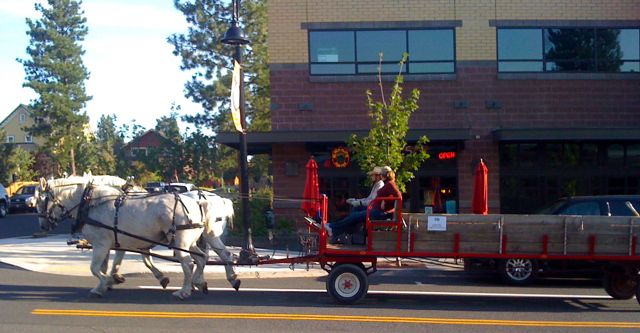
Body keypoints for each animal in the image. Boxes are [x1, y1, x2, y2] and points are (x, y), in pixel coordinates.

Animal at [37, 178, 210, 296]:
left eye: (41, 200)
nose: (43, 226)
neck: (90, 204)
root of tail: (197, 203)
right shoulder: (110, 244)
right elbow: (104, 267)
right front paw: (103, 285)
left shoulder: (101, 244)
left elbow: (94, 268)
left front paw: (106, 282)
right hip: (190, 242)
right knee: (201, 258)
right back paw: (199, 282)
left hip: (180, 242)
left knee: (188, 263)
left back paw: (184, 291)